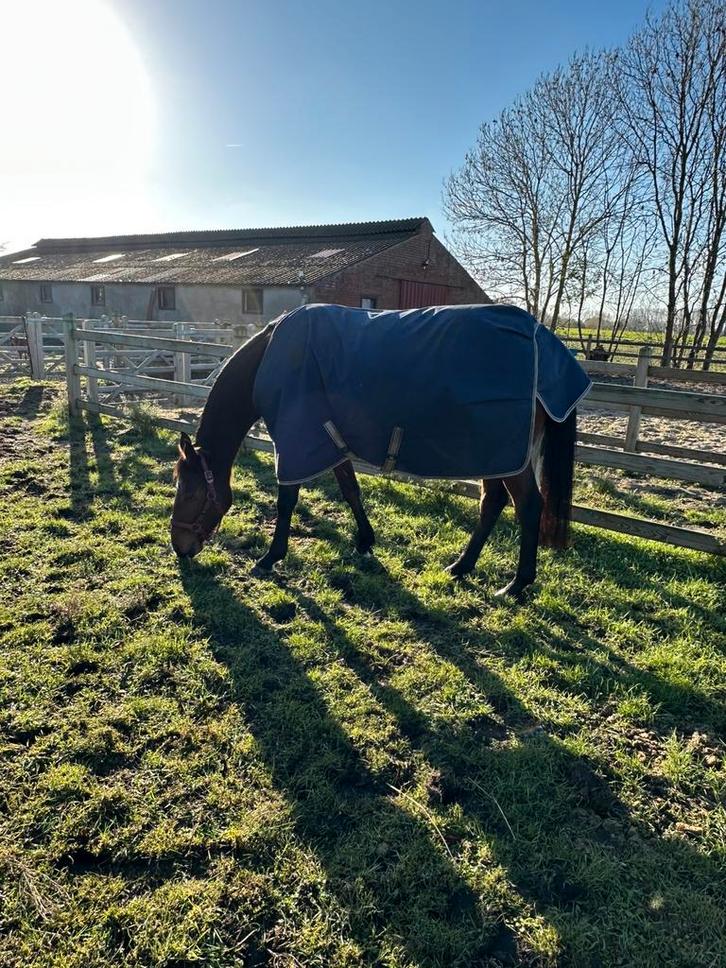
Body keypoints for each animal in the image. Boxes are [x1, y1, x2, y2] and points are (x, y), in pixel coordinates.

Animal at [170, 304, 590, 600]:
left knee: (528, 507)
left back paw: (517, 585)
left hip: (508, 457)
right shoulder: (328, 438)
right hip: (496, 455)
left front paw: (270, 558)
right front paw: (365, 542)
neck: (270, 358)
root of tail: (547, 343)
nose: (180, 548)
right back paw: (461, 567)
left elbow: (287, 500)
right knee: (493, 503)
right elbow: (350, 489)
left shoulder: (298, 439)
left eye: (189, 492)